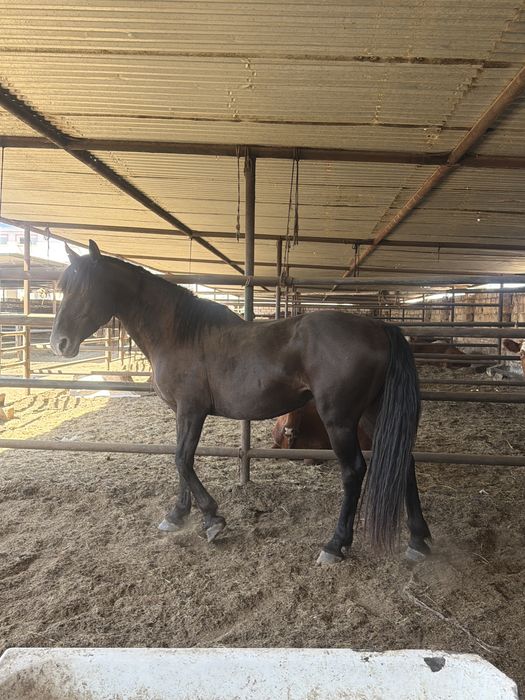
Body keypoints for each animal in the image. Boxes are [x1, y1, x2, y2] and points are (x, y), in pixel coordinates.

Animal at [50, 241, 431, 565]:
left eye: (84, 289)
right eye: (63, 287)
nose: (59, 343)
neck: (180, 334)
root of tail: (379, 327)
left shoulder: (192, 411)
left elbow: (182, 460)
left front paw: (212, 519)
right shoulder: (181, 413)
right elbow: (179, 461)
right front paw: (177, 515)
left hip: (340, 420)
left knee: (353, 472)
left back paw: (335, 545)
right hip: (370, 414)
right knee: (405, 460)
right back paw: (418, 540)